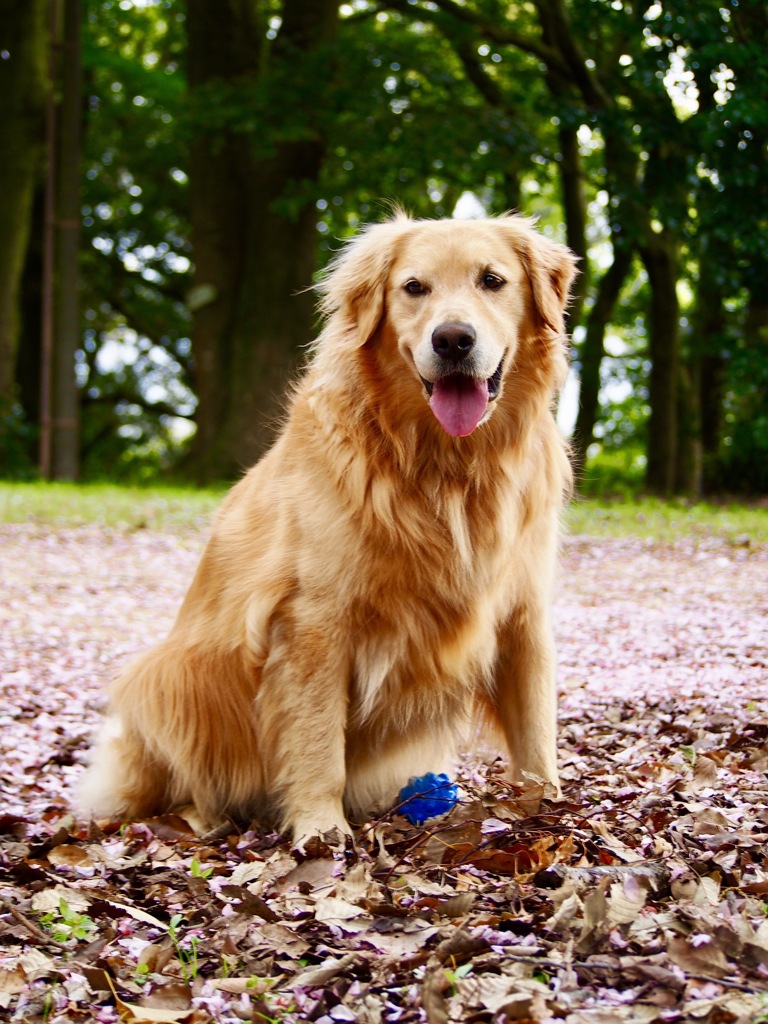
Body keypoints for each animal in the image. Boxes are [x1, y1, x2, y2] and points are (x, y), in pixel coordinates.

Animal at [81, 211, 581, 843]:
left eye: (492, 280)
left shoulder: (522, 609)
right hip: (167, 677)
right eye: (414, 288)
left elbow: (536, 725)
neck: (447, 466)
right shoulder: (314, 619)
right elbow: (317, 735)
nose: (452, 339)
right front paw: (320, 827)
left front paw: (549, 805)